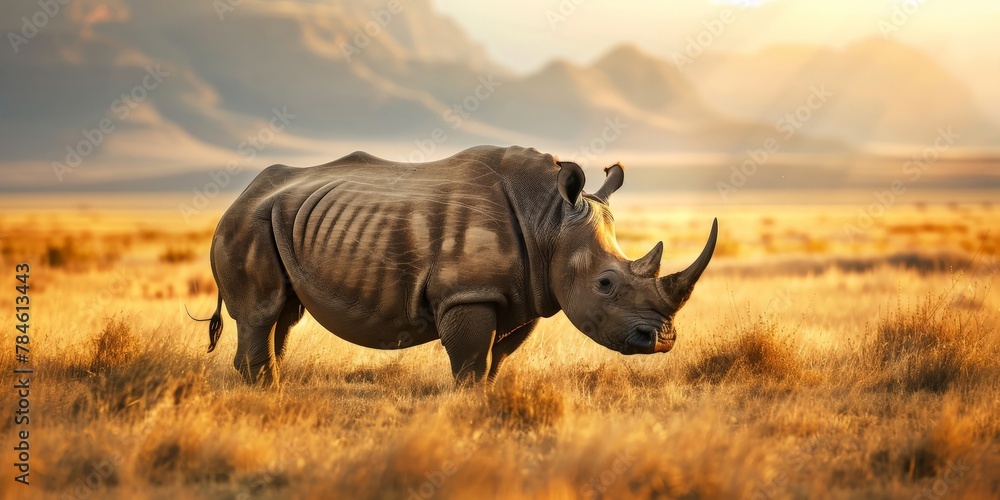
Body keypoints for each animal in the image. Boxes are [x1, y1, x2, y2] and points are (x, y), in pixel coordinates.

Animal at [200, 145, 717, 385]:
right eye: (606, 283)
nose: (662, 340)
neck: (548, 220)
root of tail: (240, 195)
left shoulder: (522, 292)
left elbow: (496, 358)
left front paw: (487, 399)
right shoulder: (466, 293)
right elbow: (469, 360)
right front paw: (469, 406)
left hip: (281, 220)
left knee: (284, 315)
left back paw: (275, 385)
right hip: (246, 223)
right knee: (262, 312)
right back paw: (264, 391)